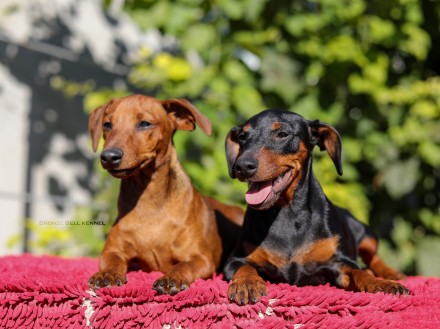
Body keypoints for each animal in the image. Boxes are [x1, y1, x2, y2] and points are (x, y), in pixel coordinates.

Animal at [87, 93, 244, 294]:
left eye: (145, 123)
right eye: (107, 125)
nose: (108, 157)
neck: (150, 203)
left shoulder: (202, 259)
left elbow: (183, 265)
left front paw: (171, 277)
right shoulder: (112, 251)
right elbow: (112, 261)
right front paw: (106, 274)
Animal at [225, 109, 408, 304]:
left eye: (282, 134)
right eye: (242, 137)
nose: (242, 166)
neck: (286, 213)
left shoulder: (340, 261)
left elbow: (360, 272)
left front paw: (382, 284)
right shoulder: (235, 259)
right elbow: (244, 268)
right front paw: (247, 284)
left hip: (367, 235)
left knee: (373, 258)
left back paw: (391, 274)